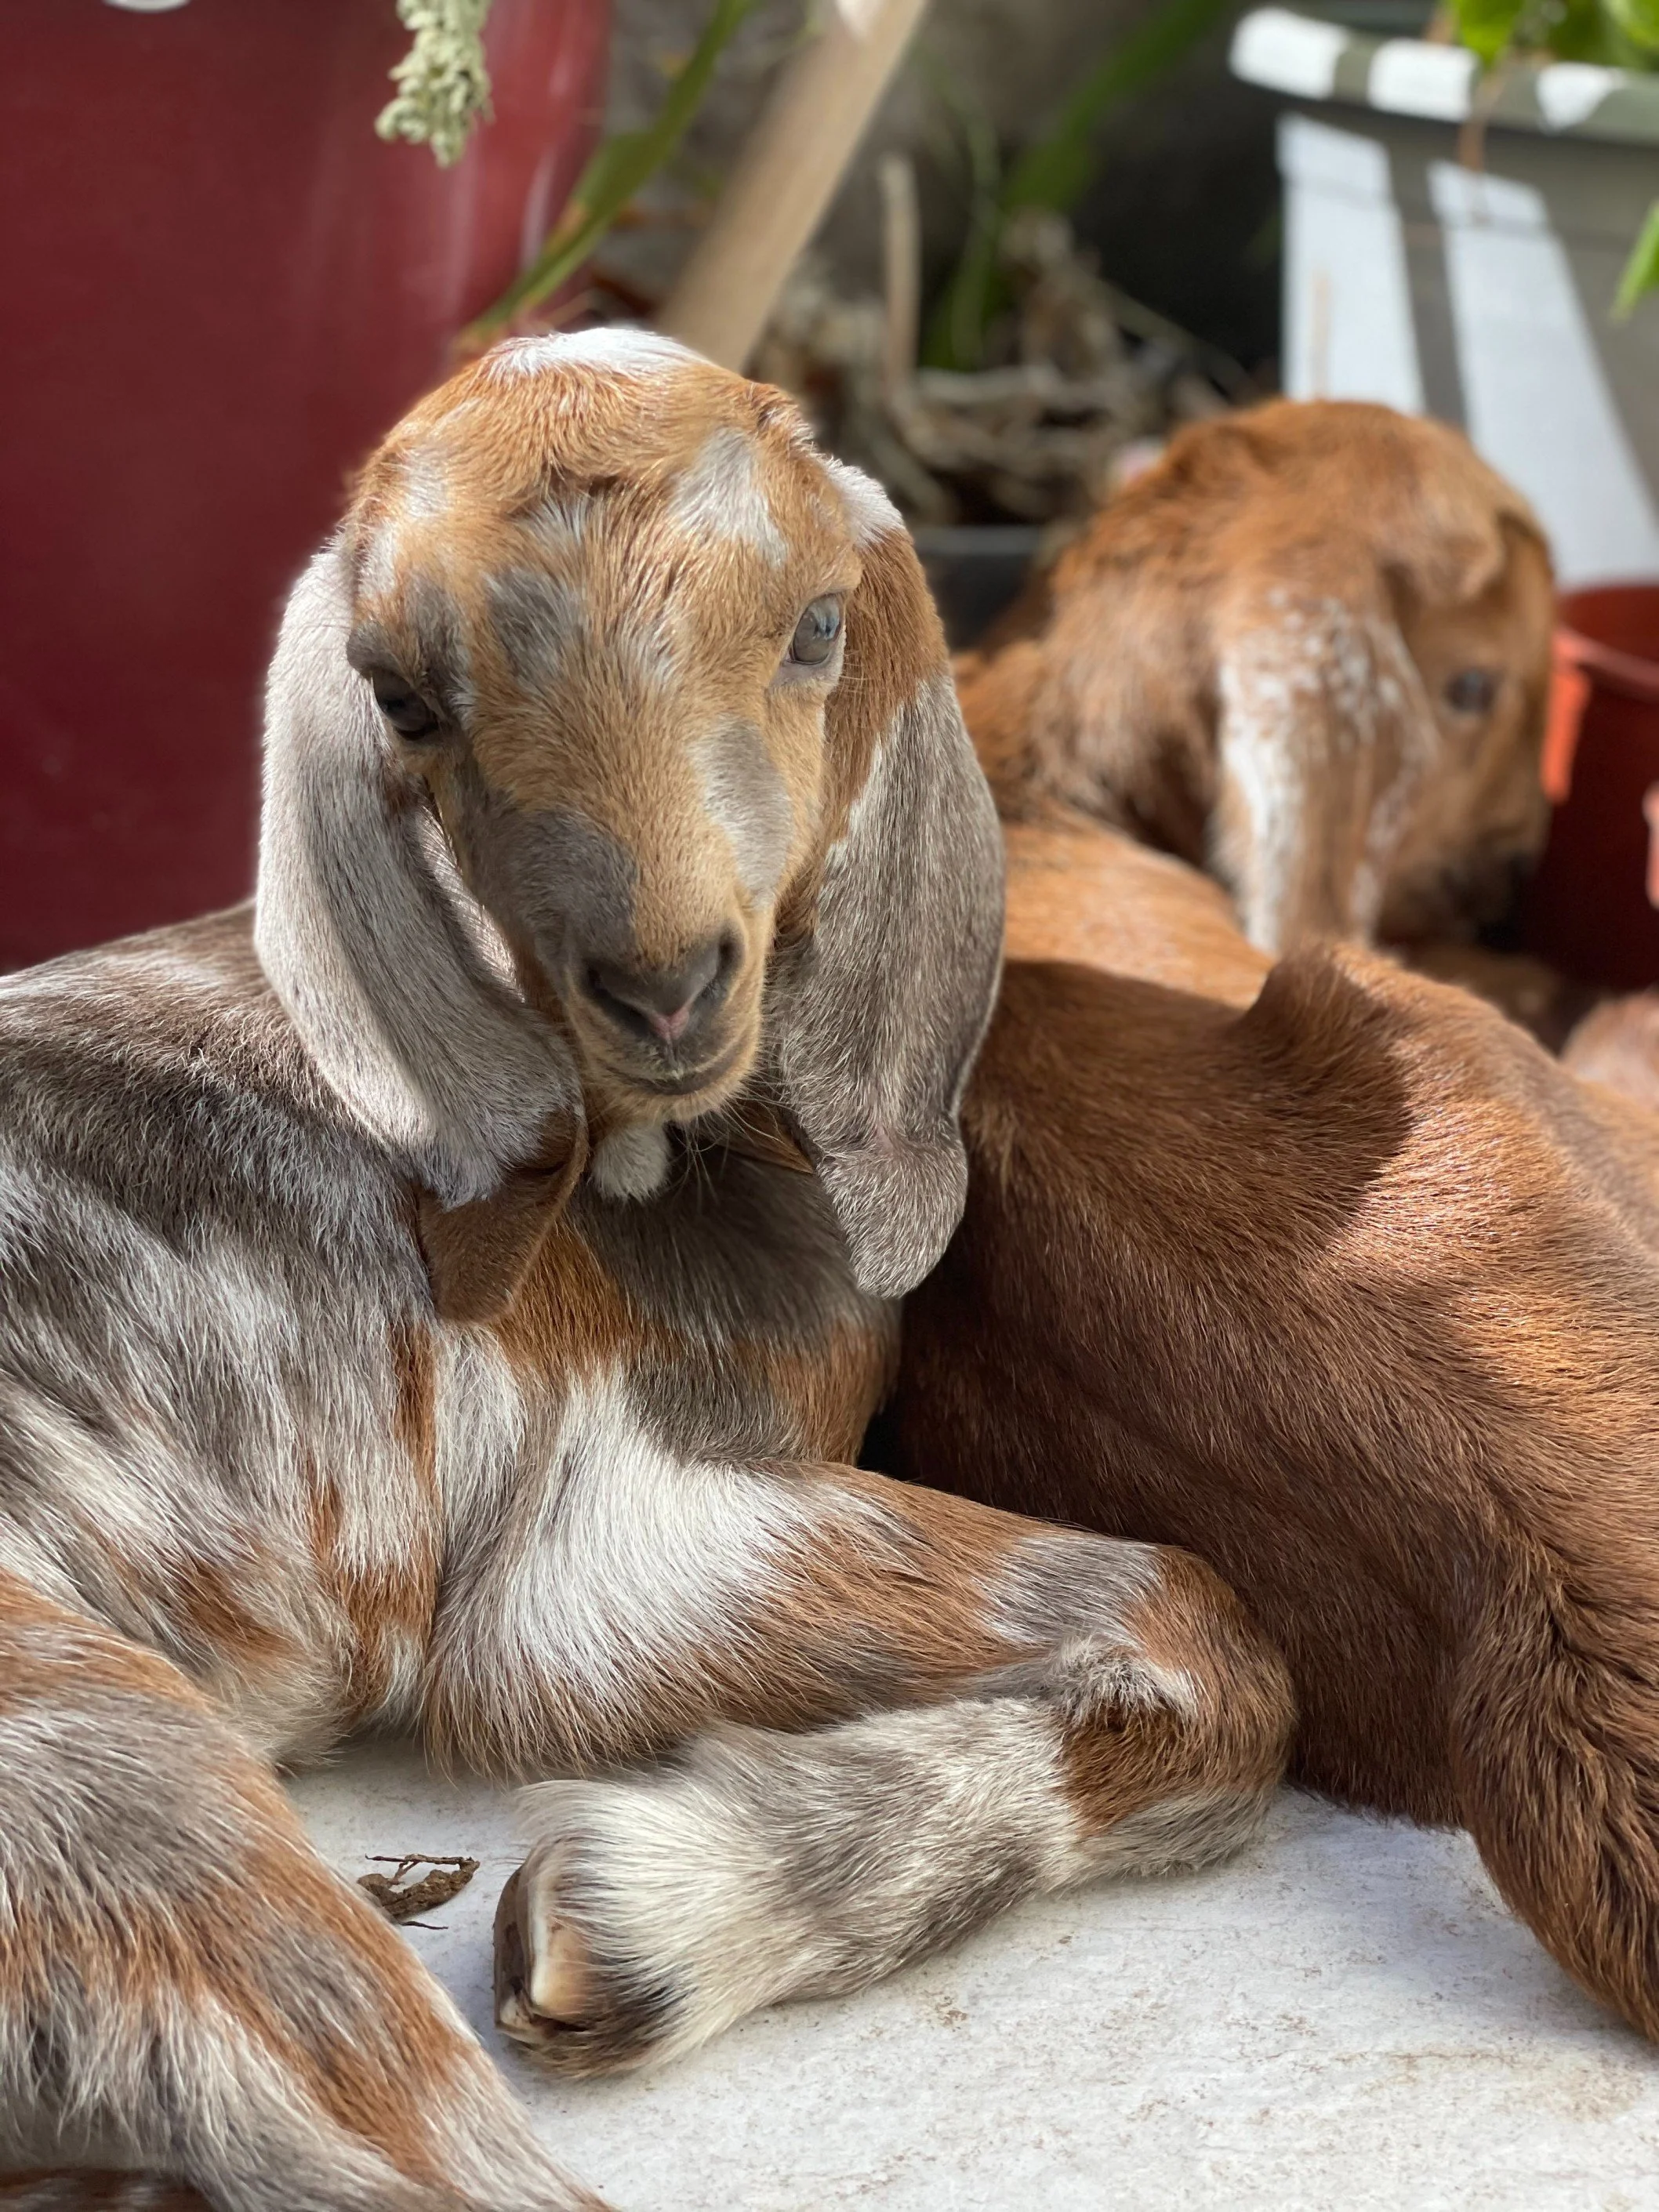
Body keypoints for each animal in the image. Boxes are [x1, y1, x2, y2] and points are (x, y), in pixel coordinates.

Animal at [0, 332, 1295, 2210]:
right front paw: (642, 1917)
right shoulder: (595, 1551)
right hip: (111, 1784)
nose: (669, 986)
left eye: (818, 626)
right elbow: (1204, 1622)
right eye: (399, 693)